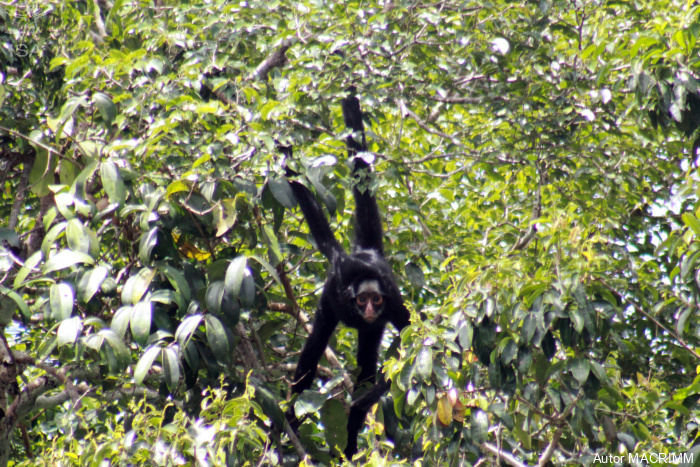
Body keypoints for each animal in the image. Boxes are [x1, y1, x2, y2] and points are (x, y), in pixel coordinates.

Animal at [282, 94, 408, 458]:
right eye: (362, 299)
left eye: (375, 300)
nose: (368, 310)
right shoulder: (336, 285)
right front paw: (287, 160)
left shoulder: (392, 304)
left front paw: (367, 399)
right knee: (314, 352)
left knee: (365, 364)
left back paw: (350, 441)